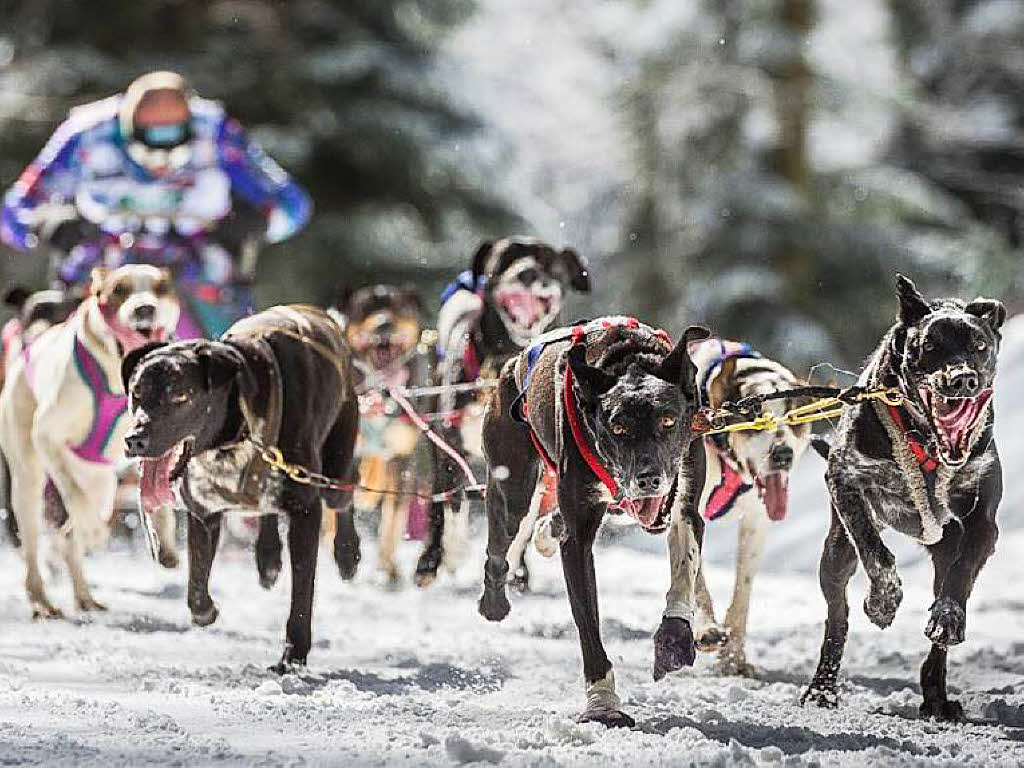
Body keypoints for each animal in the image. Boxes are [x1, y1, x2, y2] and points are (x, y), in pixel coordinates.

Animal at [0, 264, 180, 618]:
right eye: (119, 289)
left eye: (160, 288)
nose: (145, 308)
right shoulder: (47, 435)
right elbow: (75, 498)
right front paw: (96, 532)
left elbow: (158, 494)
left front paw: (164, 541)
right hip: (28, 482)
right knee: (38, 540)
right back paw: (41, 599)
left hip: (102, 484)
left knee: (71, 535)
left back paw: (84, 595)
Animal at [123, 307, 358, 671]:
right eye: (136, 393)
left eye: (180, 396)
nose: (135, 440)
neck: (238, 430)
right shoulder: (204, 512)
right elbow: (195, 589)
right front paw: (206, 611)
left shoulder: (306, 510)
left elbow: (302, 593)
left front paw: (294, 654)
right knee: (266, 510)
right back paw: (268, 556)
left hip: (336, 467)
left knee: (345, 491)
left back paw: (347, 553)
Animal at [475, 317, 708, 729]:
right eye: (618, 428)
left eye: (668, 420)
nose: (648, 480)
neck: (629, 360)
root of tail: (512, 363)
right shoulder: (579, 538)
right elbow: (588, 624)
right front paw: (603, 705)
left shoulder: (684, 506)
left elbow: (683, 574)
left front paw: (674, 638)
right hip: (513, 487)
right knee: (500, 548)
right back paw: (494, 601)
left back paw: (547, 531)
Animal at [659, 339, 811, 675]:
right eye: (755, 418)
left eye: (794, 418)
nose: (783, 454)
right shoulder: (684, 510)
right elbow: (695, 578)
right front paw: (706, 630)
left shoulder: (756, 521)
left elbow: (743, 590)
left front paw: (734, 658)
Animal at [798, 274, 1007, 720]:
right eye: (929, 345)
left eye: (980, 346)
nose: (963, 378)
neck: (926, 444)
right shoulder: (845, 481)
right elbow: (876, 553)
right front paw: (883, 601)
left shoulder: (983, 522)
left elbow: (962, 575)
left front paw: (949, 619)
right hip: (835, 554)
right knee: (837, 619)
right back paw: (822, 688)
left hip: (943, 547)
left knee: (941, 620)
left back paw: (936, 695)